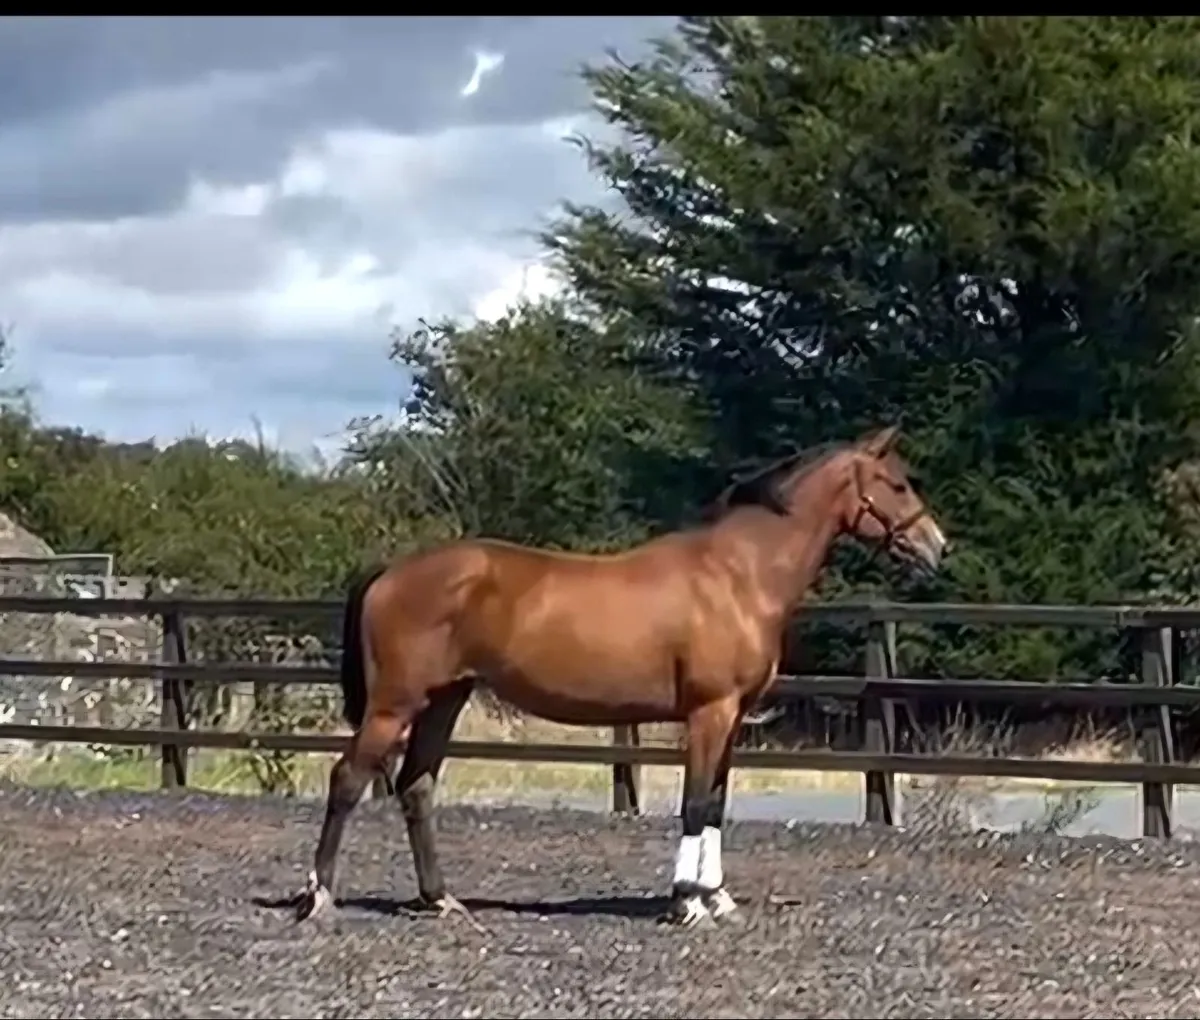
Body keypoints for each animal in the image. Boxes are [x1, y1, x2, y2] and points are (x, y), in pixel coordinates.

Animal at [295, 424, 947, 929]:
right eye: (896, 483)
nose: (936, 546)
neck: (737, 574)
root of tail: (392, 572)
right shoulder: (709, 712)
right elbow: (694, 803)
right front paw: (686, 904)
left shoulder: (734, 717)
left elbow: (716, 803)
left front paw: (718, 897)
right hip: (394, 704)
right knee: (347, 779)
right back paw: (319, 897)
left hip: (444, 700)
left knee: (417, 786)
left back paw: (440, 899)